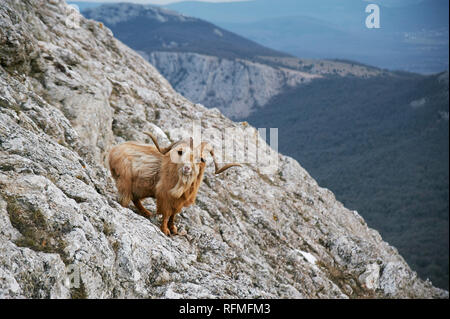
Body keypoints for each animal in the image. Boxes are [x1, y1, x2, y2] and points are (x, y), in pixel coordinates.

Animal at [108, 132, 241, 235]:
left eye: (201, 159)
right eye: (181, 152)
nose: (187, 168)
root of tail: (113, 151)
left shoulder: (178, 202)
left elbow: (173, 215)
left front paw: (173, 229)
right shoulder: (165, 197)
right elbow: (166, 214)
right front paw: (165, 230)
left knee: (135, 199)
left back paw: (146, 212)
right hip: (125, 181)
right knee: (125, 198)